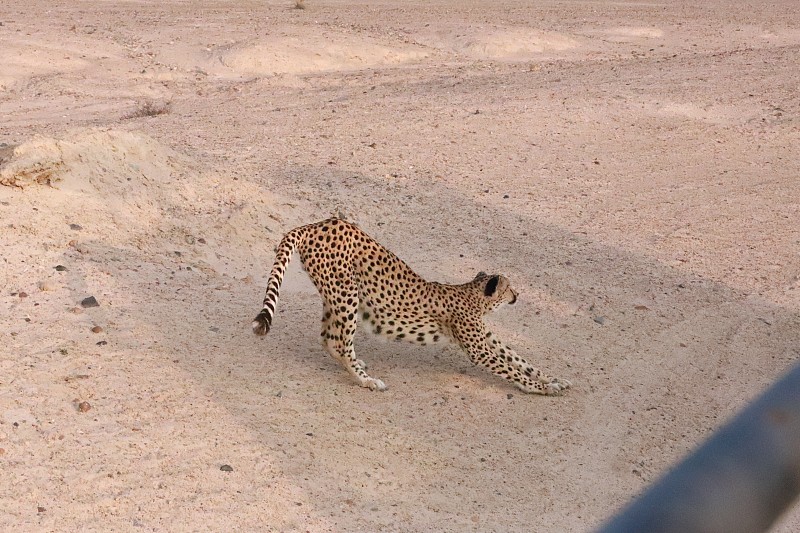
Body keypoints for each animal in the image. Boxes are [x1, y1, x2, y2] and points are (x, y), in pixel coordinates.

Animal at [253, 217, 572, 394]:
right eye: (508, 288)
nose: (517, 296)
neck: (471, 295)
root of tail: (315, 225)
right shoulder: (478, 348)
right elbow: (511, 369)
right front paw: (541, 389)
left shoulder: (487, 338)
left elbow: (519, 359)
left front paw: (553, 380)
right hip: (347, 295)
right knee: (341, 343)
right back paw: (367, 381)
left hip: (337, 295)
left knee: (329, 339)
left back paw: (357, 366)